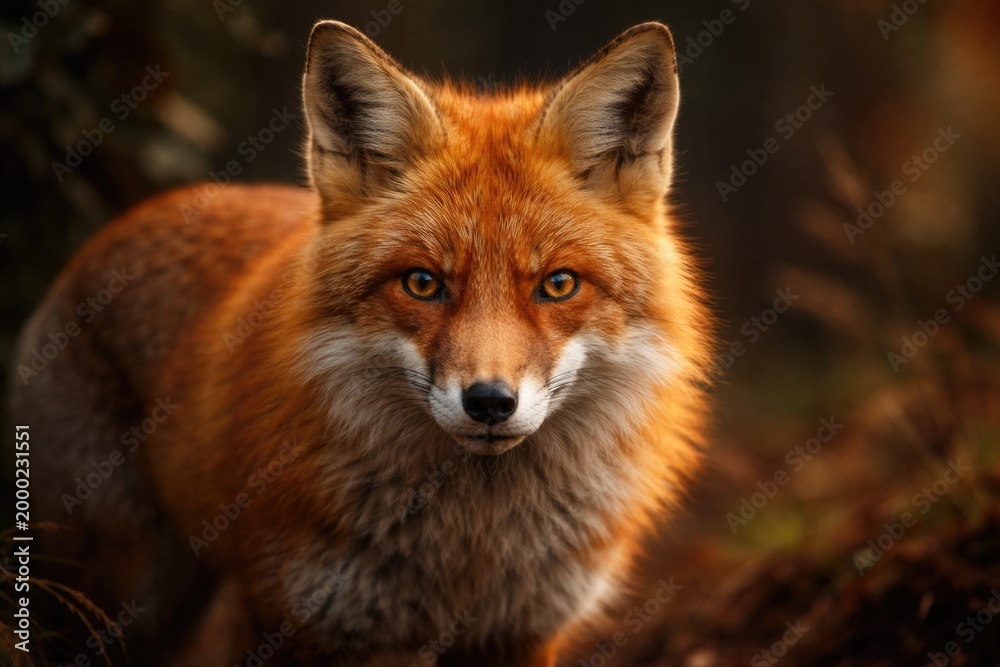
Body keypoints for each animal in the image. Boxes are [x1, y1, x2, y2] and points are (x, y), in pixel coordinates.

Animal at [11, 20, 714, 667]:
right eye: (423, 283)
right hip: (123, 596)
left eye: (559, 284)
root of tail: (130, 220)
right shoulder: (292, 619)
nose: (490, 402)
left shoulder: (520, 634)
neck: (472, 547)